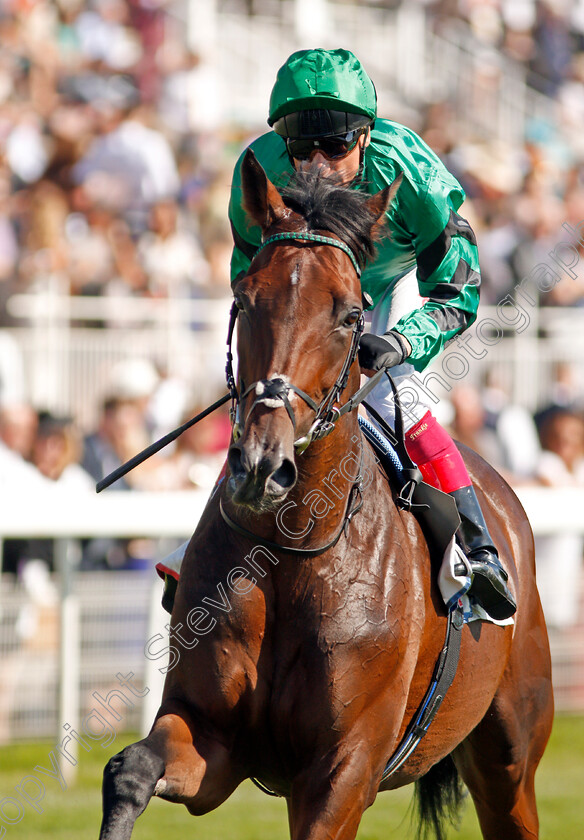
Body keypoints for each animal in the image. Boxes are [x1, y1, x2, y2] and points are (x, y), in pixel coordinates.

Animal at [99, 151, 552, 840]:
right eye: (243, 298)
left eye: (348, 315)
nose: (263, 467)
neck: (291, 549)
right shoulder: (213, 737)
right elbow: (130, 769)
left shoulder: (344, 769)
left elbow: (455, 278)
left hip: (510, 757)